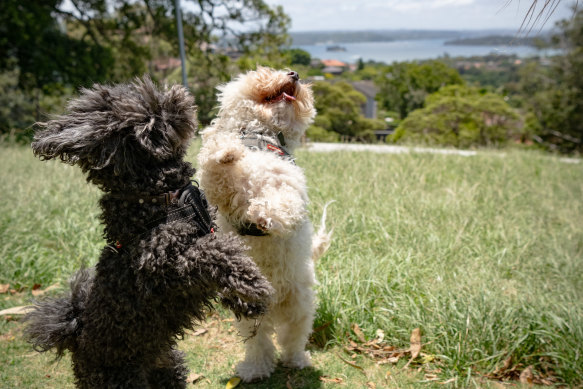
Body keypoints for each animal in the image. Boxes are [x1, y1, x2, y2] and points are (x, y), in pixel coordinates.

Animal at [24, 76, 274, 388]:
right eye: (150, 110)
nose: (176, 94)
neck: (154, 198)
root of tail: (77, 339)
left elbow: (228, 249)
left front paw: (243, 300)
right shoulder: (168, 267)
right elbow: (215, 253)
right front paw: (254, 290)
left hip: (168, 367)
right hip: (123, 378)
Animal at [197, 66, 330, 378]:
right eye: (264, 71)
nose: (294, 73)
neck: (261, 137)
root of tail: (273, 301)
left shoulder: (290, 187)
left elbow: (283, 204)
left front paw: (262, 213)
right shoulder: (221, 192)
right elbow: (215, 163)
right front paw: (227, 152)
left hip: (299, 306)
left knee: (293, 338)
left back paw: (298, 360)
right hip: (249, 314)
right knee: (259, 343)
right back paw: (255, 369)